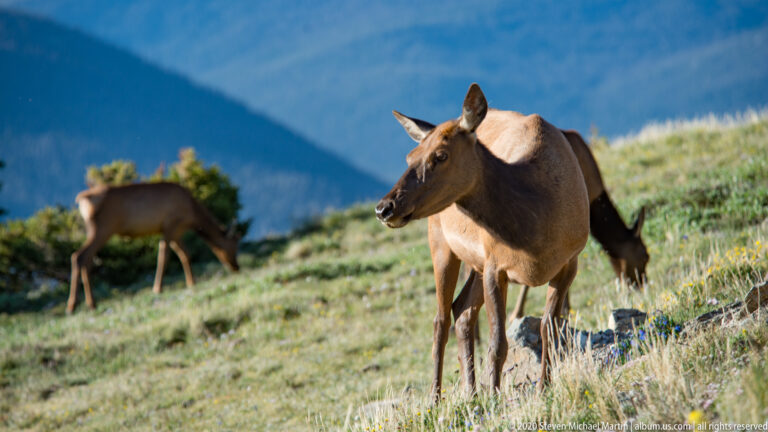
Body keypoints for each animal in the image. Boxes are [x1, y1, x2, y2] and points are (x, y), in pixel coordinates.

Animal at [68, 182, 240, 314]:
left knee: (85, 258)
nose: (236, 267)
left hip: (94, 229)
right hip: (103, 228)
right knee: (79, 256)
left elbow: (185, 254)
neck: (192, 216)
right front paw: (158, 288)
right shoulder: (171, 224)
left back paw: (88, 303)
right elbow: (164, 255)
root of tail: (82, 198)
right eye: (233, 246)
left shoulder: (176, 232)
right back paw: (76, 305)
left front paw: (191, 282)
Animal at [375, 83, 589, 399]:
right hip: (441, 243)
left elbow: (550, 330)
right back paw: (436, 399)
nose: (384, 208)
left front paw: (543, 389)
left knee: (462, 310)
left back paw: (471, 392)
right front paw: (496, 397)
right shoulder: (495, 266)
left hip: (475, 261)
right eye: (409, 156)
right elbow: (498, 343)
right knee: (441, 320)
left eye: (441, 155)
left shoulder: (569, 261)